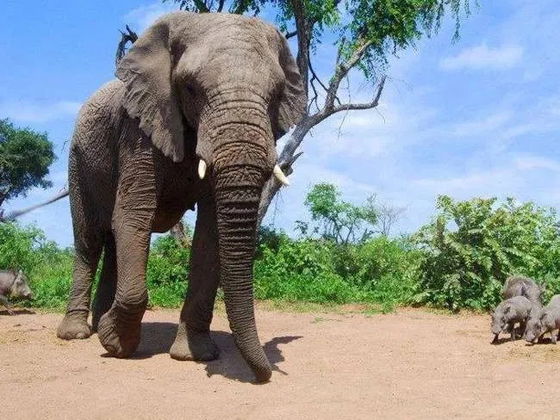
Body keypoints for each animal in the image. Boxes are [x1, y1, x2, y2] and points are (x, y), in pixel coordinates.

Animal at [57, 11, 306, 382]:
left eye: (276, 94)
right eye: (190, 88)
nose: (264, 376)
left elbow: (210, 232)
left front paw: (194, 355)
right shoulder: (138, 128)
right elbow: (134, 213)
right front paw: (116, 344)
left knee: (113, 242)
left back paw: (101, 320)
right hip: (78, 159)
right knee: (90, 238)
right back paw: (77, 333)